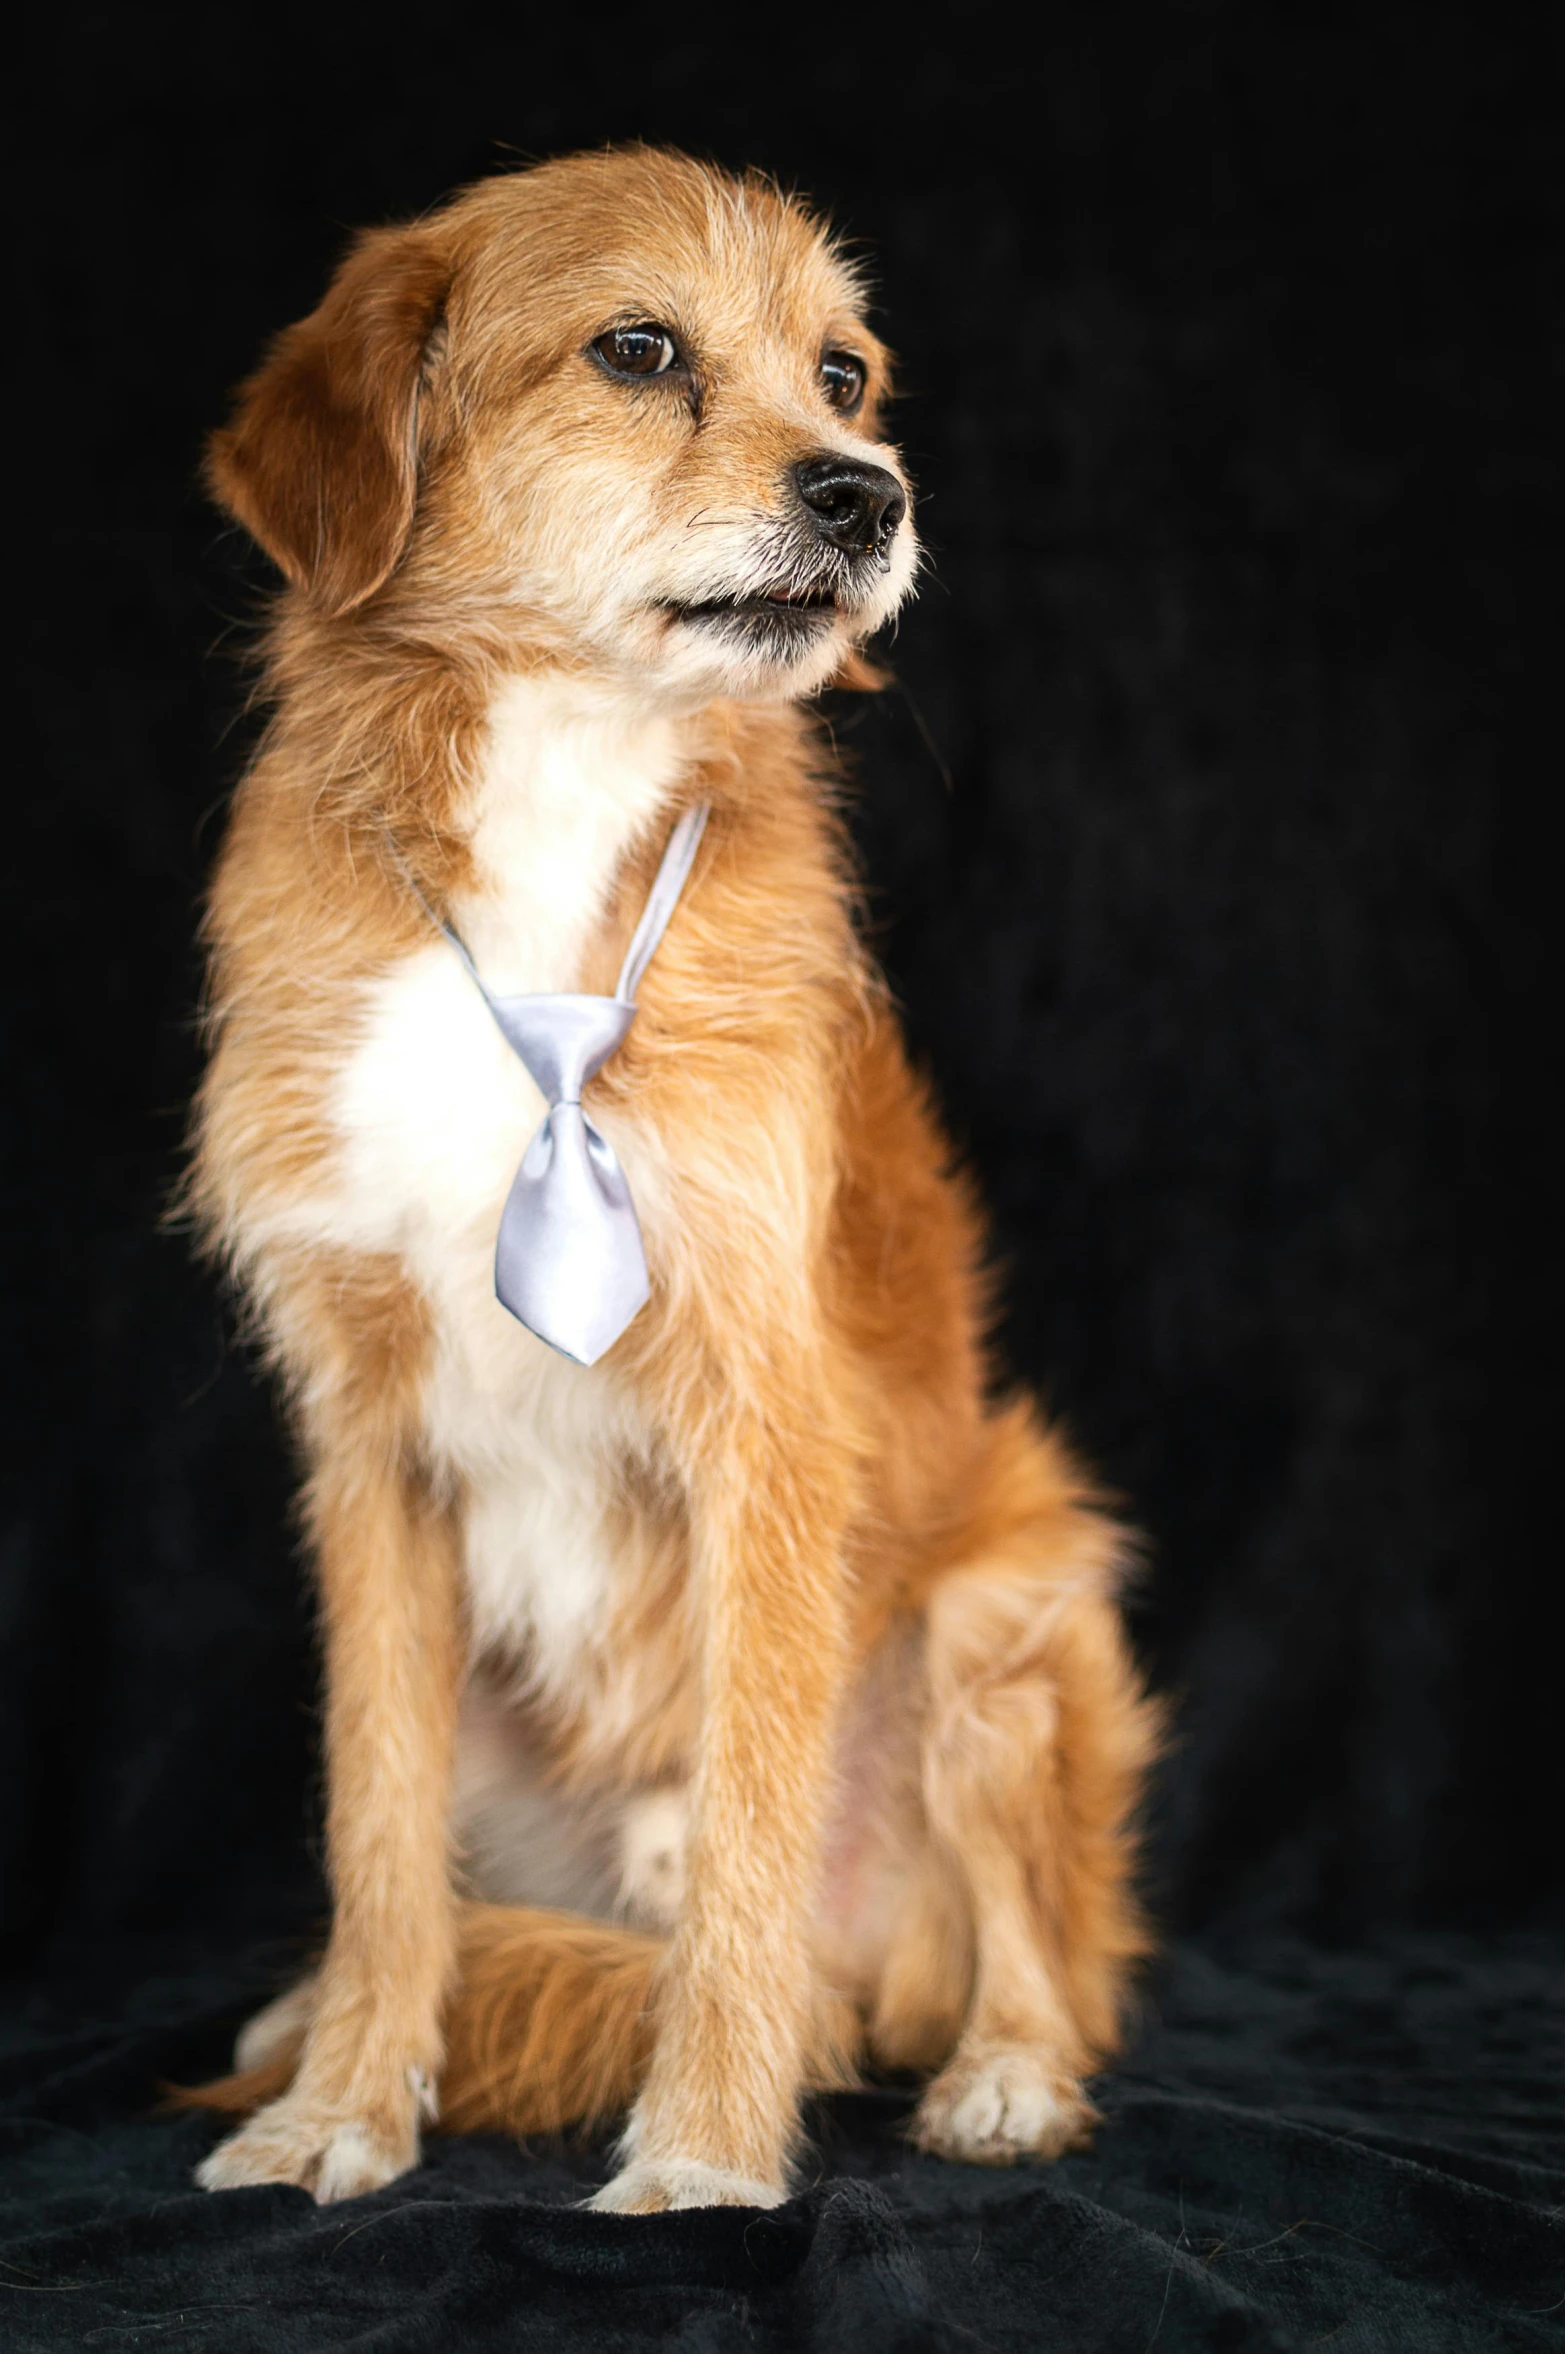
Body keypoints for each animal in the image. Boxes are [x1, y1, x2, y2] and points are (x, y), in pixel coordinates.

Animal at [185, 142, 1157, 2203]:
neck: (557, 792)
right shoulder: (367, 1444)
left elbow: (747, 1833)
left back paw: (1001, 2072)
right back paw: (316, 2018)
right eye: (640, 349)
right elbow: (373, 1835)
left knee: (1028, 1933)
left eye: (847, 374)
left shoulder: (768, 1416)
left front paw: (707, 2147)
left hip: (1011, 1603)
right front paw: (342, 2107)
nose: (868, 495)